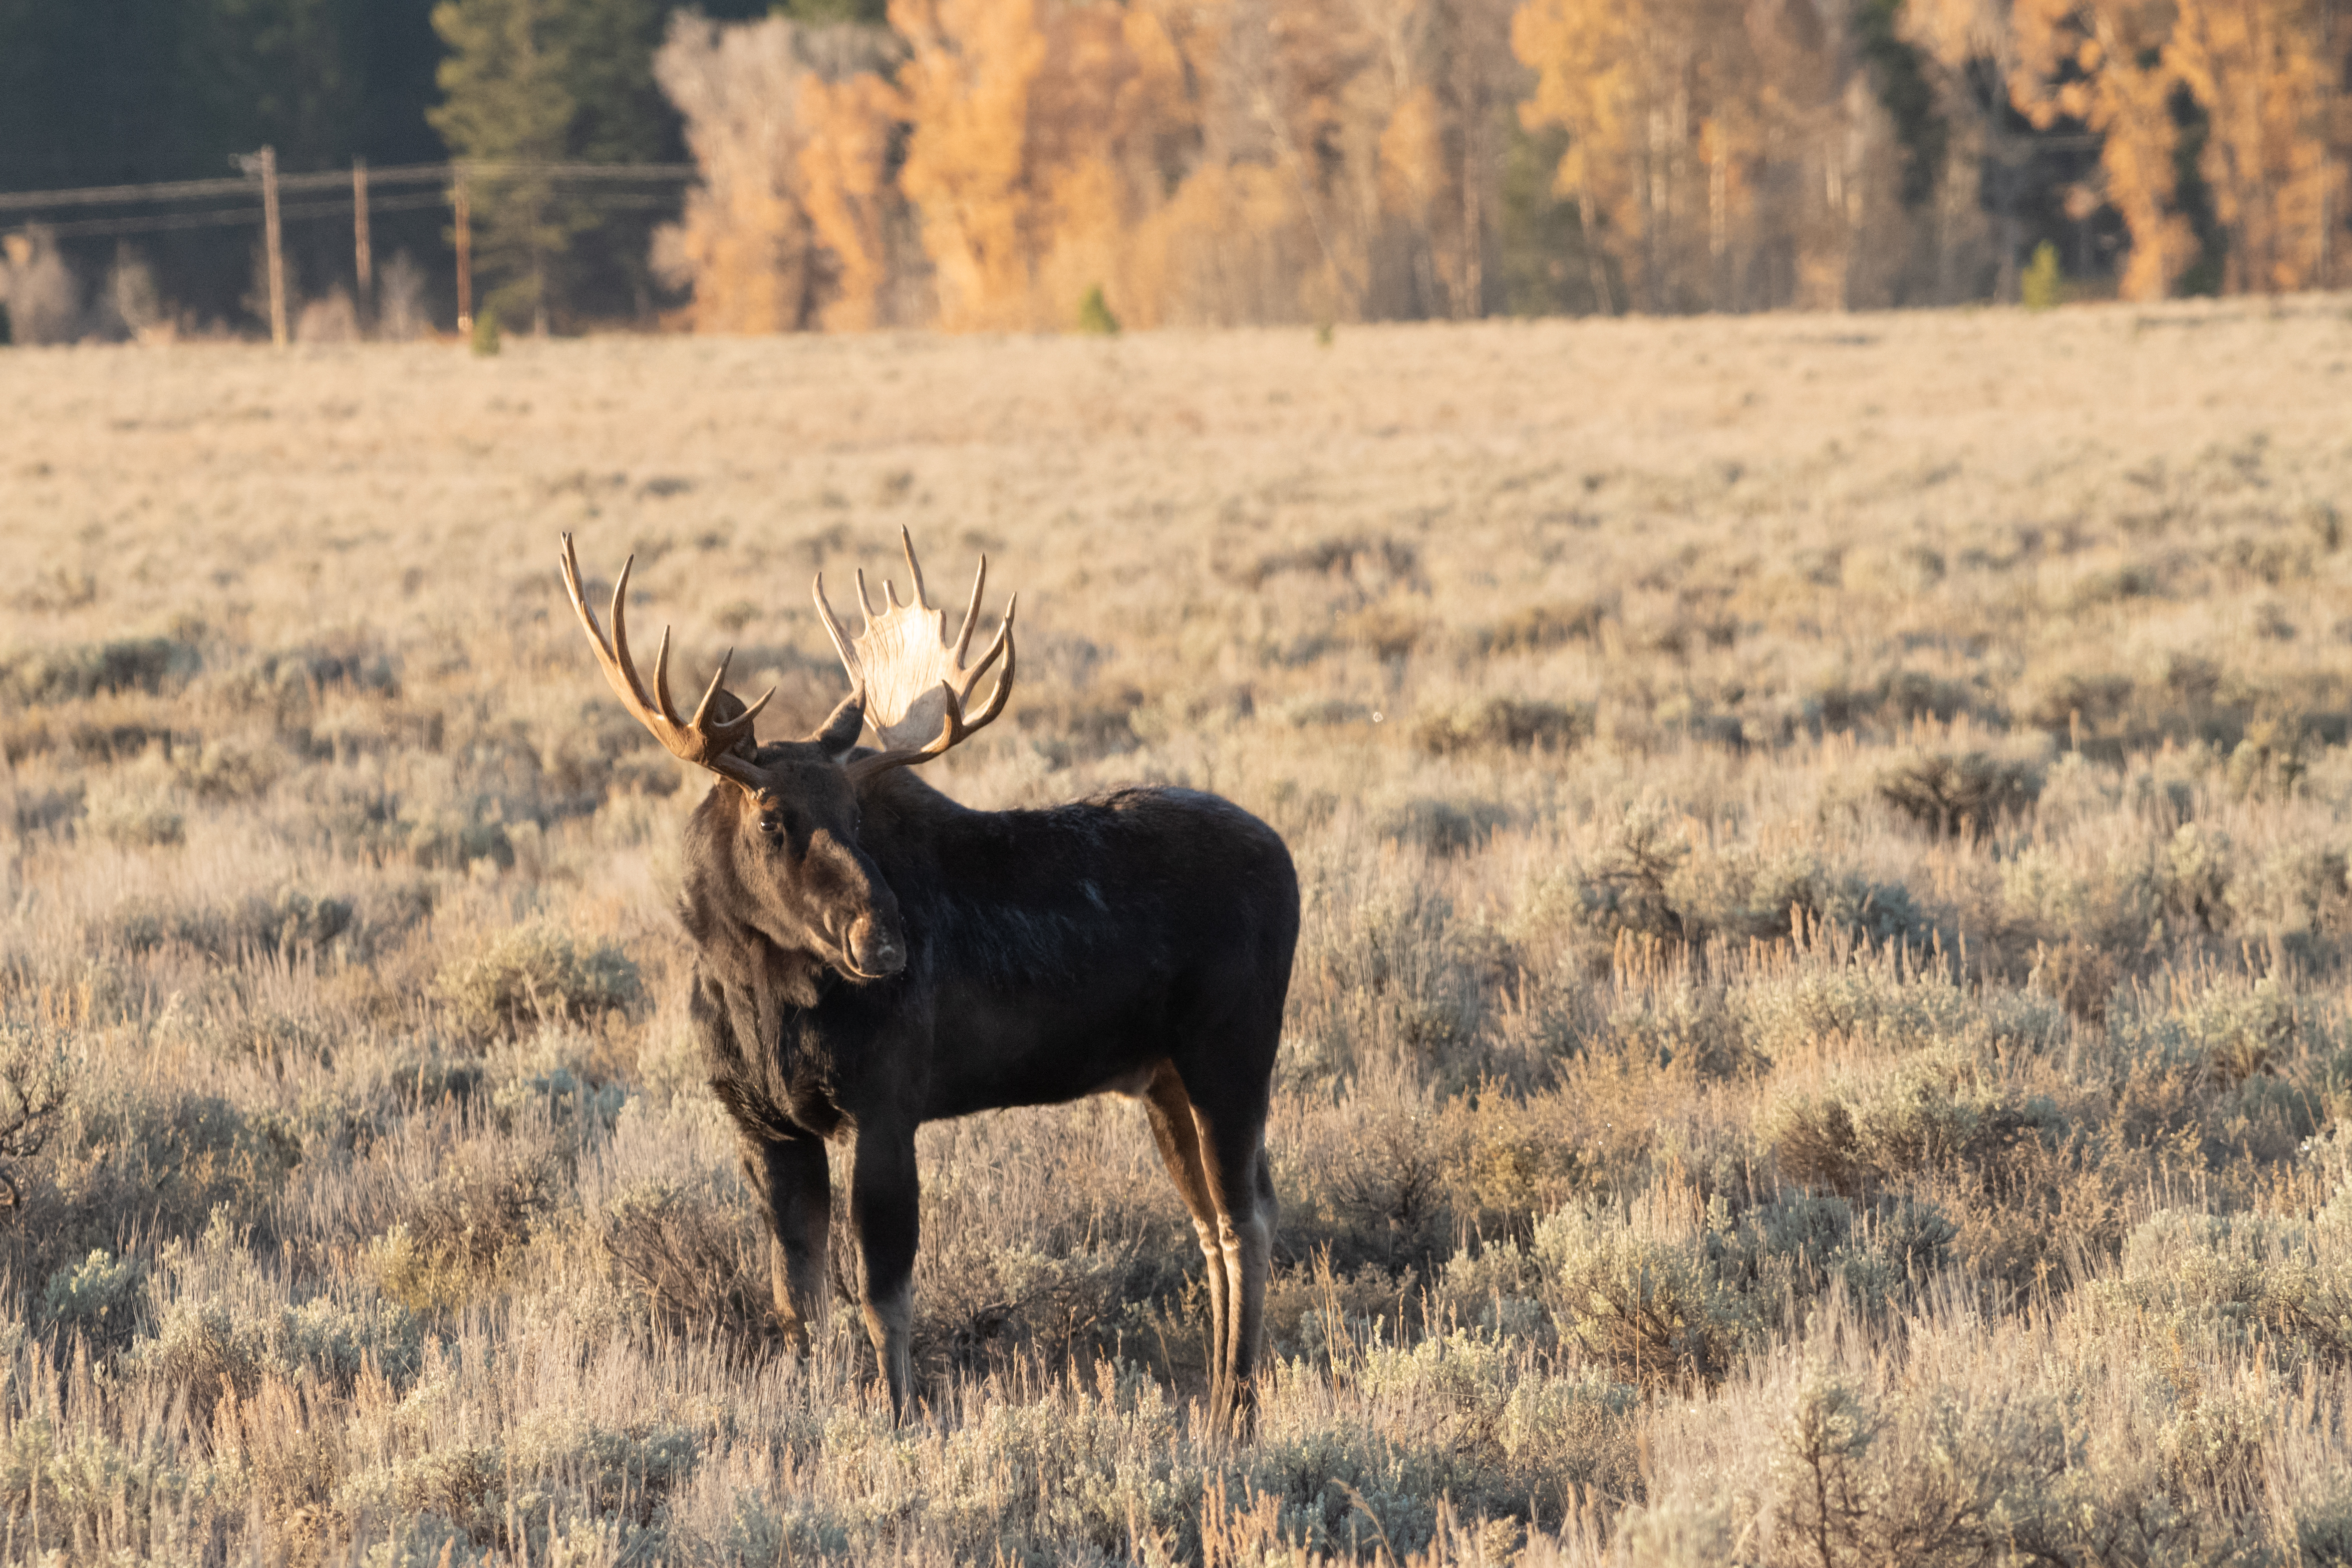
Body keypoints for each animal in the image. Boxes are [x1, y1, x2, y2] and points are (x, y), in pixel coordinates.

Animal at [558, 530, 1298, 1427]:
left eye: (855, 813)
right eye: (771, 819)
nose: (883, 940)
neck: (756, 995)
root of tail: (1290, 860)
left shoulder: (886, 1107)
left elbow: (885, 1296)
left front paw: (902, 1419)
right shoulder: (764, 1124)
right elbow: (796, 1303)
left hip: (1230, 1054)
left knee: (1243, 1219)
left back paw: (1238, 1408)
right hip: (1161, 1079)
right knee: (1218, 1218)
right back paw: (1222, 1396)